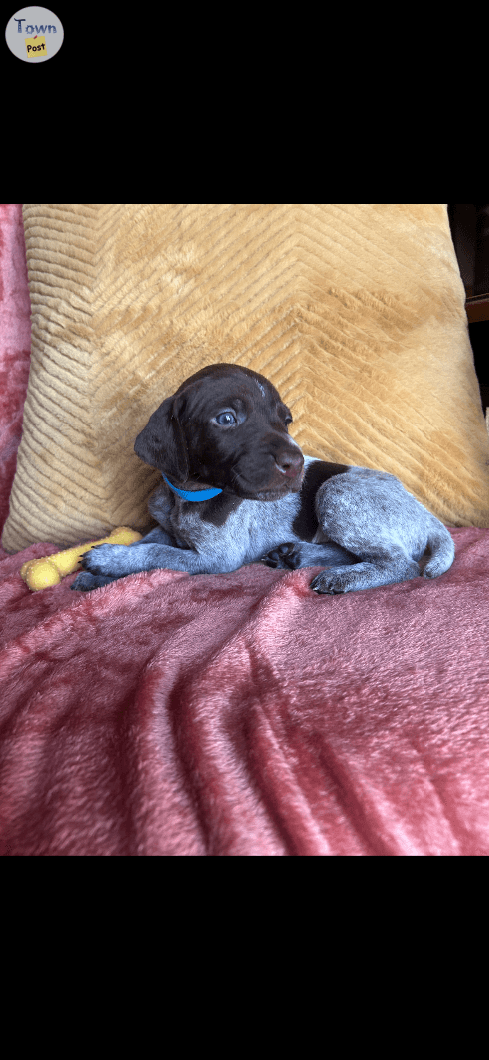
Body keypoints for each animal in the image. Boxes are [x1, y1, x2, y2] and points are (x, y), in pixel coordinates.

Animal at [71, 362, 453, 597]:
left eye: (286, 420)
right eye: (227, 418)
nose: (295, 462)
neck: (187, 496)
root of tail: (425, 513)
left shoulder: (218, 557)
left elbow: (154, 552)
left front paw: (110, 560)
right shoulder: (165, 527)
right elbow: (148, 541)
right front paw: (98, 574)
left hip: (336, 491)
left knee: (401, 563)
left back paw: (341, 576)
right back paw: (296, 555)